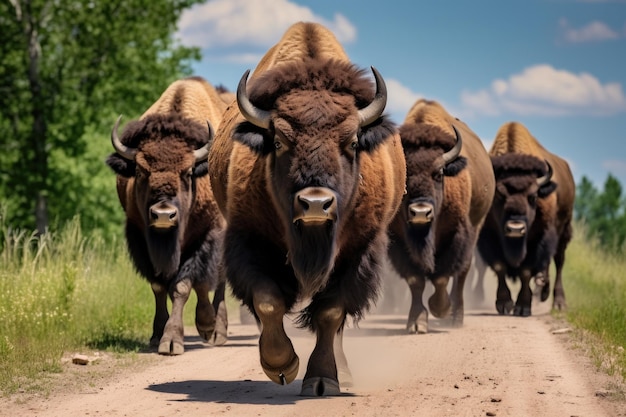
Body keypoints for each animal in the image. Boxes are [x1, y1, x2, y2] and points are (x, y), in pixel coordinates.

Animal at [106, 76, 228, 352]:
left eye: (187, 171)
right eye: (141, 171)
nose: (163, 214)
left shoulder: (209, 235)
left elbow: (186, 285)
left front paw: (176, 339)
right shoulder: (141, 238)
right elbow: (159, 286)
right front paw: (157, 335)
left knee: (219, 281)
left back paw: (217, 331)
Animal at [207, 21, 408, 394]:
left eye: (352, 141)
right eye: (279, 140)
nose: (315, 203)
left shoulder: (358, 252)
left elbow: (330, 314)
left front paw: (322, 379)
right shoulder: (249, 240)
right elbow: (268, 301)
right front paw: (281, 366)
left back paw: (342, 375)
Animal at [386, 99, 492, 334]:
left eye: (439, 174)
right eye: (405, 174)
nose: (420, 212)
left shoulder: (455, 235)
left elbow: (442, 276)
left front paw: (441, 309)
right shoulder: (399, 241)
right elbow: (416, 280)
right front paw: (417, 322)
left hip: (475, 227)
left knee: (462, 273)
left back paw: (455, 317)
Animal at [476, 120, 572, 316]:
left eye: (533, 197)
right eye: (499, 195)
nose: (515, 228)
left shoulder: (538, 239)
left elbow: (526, 271)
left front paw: (523, 307)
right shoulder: (488, 237)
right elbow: (500, 266)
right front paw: (504, 304)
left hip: (564, 231)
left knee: (559, 262)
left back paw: (558, 303)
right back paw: (542, 291)